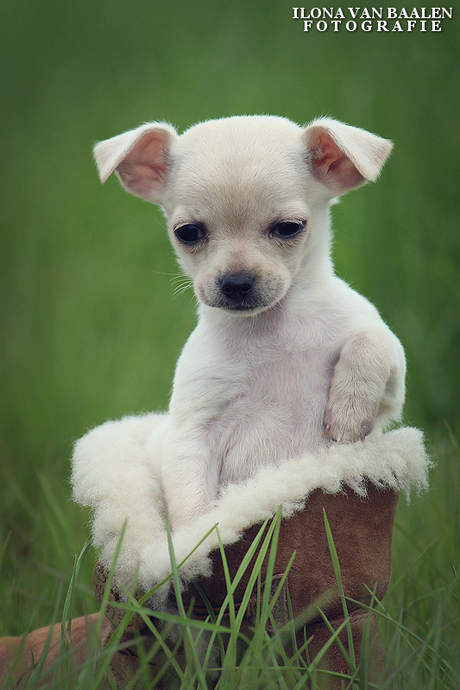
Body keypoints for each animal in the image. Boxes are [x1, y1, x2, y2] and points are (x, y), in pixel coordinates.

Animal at [76, 114, 406, 536]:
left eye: (289, 227)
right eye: (188, 232)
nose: (235, 282)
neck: (273, 327)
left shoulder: (392, 389)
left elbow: (372, 340)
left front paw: (348, 412)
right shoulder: (193, 429)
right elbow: (192, 504)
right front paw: (198, 541)